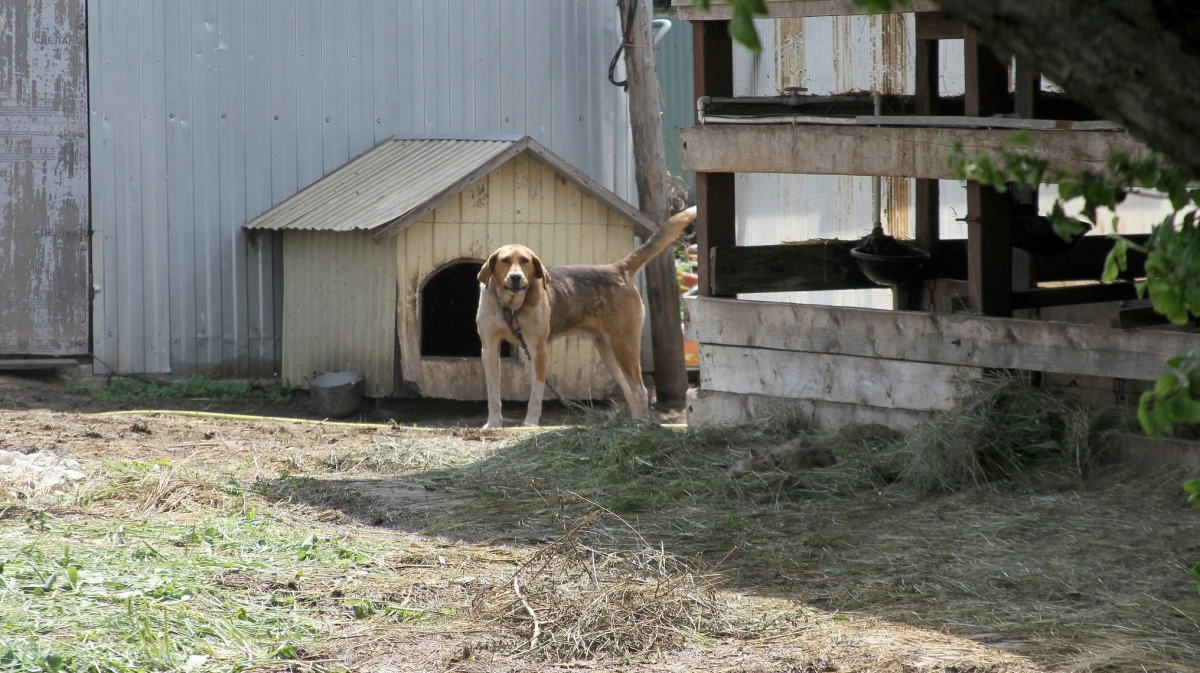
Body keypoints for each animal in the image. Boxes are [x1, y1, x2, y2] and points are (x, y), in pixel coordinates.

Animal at [468, 206, 696, 424]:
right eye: (505, 261)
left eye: (525, 261)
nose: (516, 277)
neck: (511, 307)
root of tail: (618, 268)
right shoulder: (489, 349)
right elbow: (493, 394)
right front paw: (493, 424)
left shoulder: (538, 351)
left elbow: (535, 396)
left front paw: (530, 425)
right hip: (608, 352)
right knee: (630, 392)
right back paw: (634, 423)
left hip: (624, 346)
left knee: (640, 392)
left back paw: (641, 426)